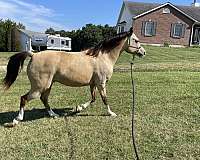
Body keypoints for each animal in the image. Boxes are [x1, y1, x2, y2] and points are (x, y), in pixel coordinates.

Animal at [2, 27, 145, 127]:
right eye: (136, 40)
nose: (143, 52)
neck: (102, 57)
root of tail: (33, 54)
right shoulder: (101, 83)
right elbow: (104, 99)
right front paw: (111, 113)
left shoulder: (93, 84)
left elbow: (93, 99)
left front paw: (78, 108)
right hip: (39, 87)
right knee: (24, 98)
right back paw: (16, 120)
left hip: (48, 85)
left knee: (44, 99)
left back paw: (54, 115)